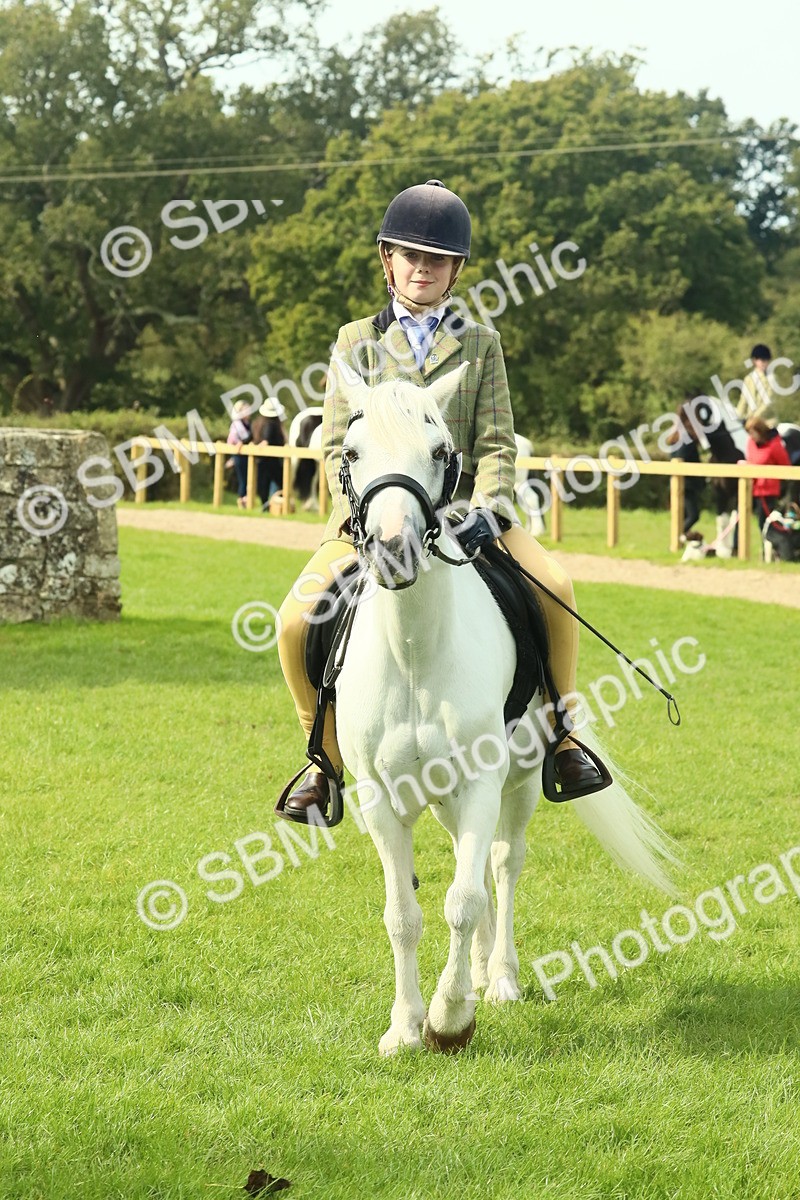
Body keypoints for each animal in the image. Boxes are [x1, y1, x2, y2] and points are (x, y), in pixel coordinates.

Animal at [332, 363, 678, 1055]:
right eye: (351, 453)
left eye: (440, 452)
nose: (393, 550)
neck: (414, 651)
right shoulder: (381, 797)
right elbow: (402, 914)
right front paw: (404, 1027)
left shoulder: (482, 781)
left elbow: (463, 899)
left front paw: (449, 1019)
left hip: (513, 788)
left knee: (501, 865)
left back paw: (500, 980)